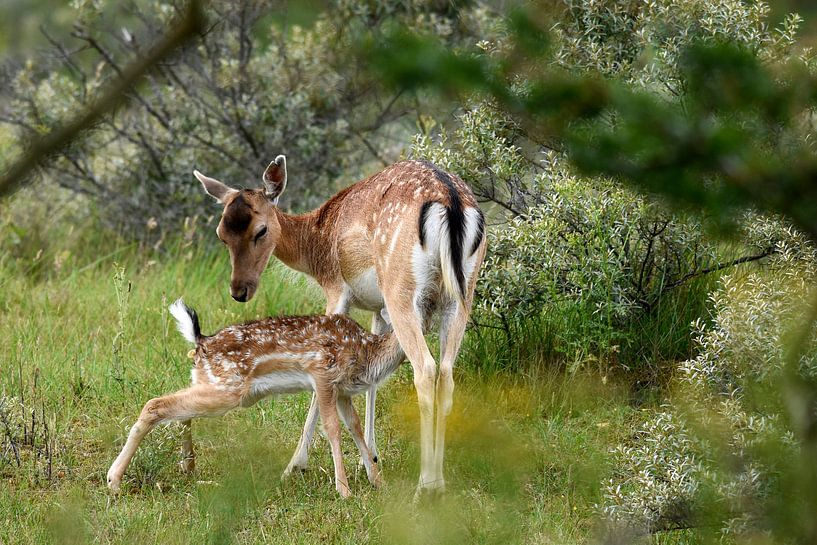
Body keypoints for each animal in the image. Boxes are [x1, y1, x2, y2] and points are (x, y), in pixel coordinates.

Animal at [191, 156, 484, 492]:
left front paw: (295, 466)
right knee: (447, 373)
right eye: (221, 233)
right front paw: (370, 459)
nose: (239, 291)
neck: (315, 244)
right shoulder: (378, 308)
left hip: (401, 289)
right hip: (461, 295)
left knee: (426, 369)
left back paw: (425, 485)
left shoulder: (335, 290)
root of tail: (450, 201)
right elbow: (372, 380)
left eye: (261, 230)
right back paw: (440, 482)